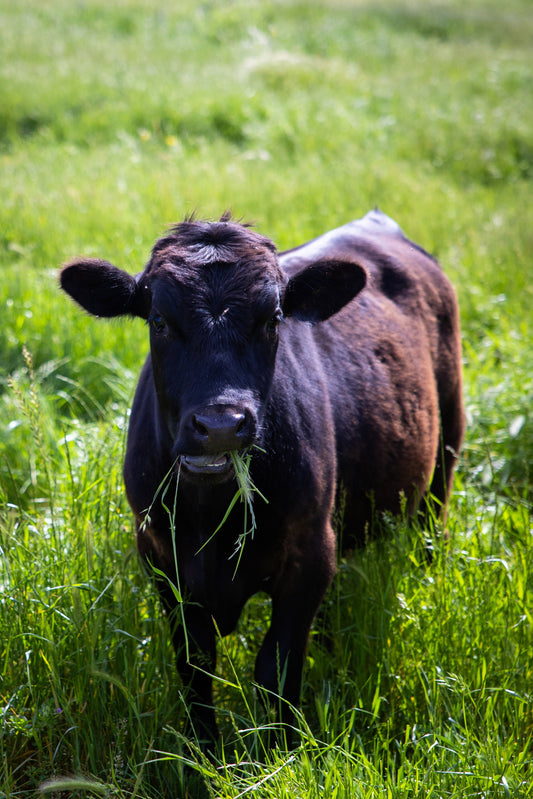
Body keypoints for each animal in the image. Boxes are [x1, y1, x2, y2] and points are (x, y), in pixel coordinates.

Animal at [60, 209, 464, 748]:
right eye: (160, 321)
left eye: (272, 320)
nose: (220, 424)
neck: (211, 518)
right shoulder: (159, 555)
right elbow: (194, 663)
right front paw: (205, 750)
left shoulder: (311, 551)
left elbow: (277, 667)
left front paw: (282, 751)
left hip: (447, 444)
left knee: (431, 528)